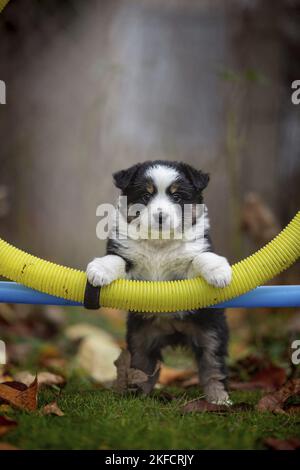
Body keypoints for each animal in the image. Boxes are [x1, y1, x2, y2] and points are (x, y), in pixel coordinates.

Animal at [86, 161, 232, 404]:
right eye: (146, 196)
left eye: (178, 197)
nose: (160, 217)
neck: (159, 245)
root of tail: (174, 332)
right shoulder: (130, 264)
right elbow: (115, 259)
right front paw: (99, 270)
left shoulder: (187, 271)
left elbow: (200, 258)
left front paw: (219, 272)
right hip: (139, 339)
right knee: (142, 368)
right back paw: (137, 397)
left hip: (212, 333)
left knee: (213, 368)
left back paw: (219, 399)